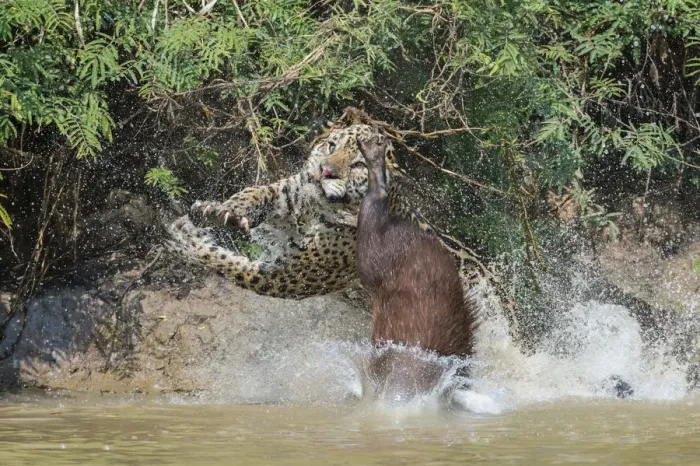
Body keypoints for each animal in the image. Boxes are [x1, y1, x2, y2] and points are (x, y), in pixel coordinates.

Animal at [166, 123, 497, 300]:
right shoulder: (287, 194)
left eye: (359, 165)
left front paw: (187, 241)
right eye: (331, 146)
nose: (324, 171)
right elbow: (254, 193)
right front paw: (218, 211)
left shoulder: (294, 277)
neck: (313, 210)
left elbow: (234, 268)